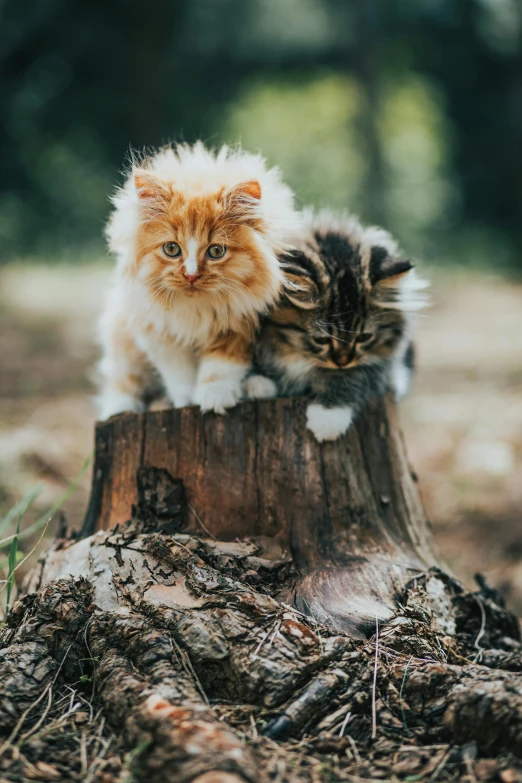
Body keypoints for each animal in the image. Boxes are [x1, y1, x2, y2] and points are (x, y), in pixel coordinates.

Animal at [96, 143, 296, 420]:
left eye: (216, 251)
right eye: (171, 249)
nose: (191, 275)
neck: (197, 309)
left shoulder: (238, 323)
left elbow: (220, 368)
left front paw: (215, 399)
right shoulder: (159, 332)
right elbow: (180, 375)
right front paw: (188, 401)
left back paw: (256, 387)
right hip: (122, 339)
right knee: (124, 382)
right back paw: (119, 408)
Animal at [244, 210, 426, 440]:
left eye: (363, 337)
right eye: (321, 339)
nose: (342, 361)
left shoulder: (377, 365)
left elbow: (351, 377)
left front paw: (327, 417)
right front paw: (257, 383)